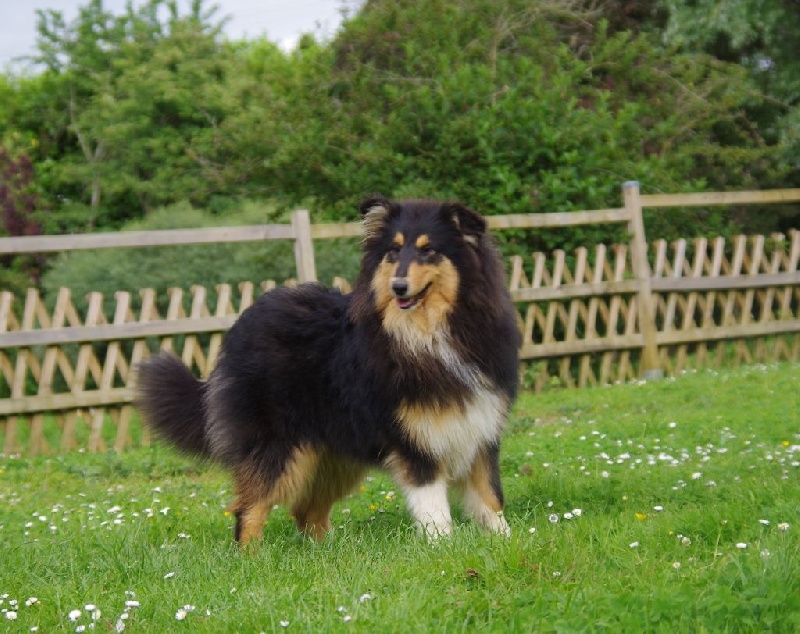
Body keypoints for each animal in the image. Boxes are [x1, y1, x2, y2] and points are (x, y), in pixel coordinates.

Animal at [137, 195, 520, 540]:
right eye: (394, 251)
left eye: (428, 250)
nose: (398, 287)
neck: (430, 331)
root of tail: (242, 325)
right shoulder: (416, 439)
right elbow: (434, 508)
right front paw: (442, 548)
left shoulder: (479, 427)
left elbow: (490, 497)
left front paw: (505, 540)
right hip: (279, 444)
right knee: (249, 508)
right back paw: (251, 559)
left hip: (335, 452)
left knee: (306, 511)